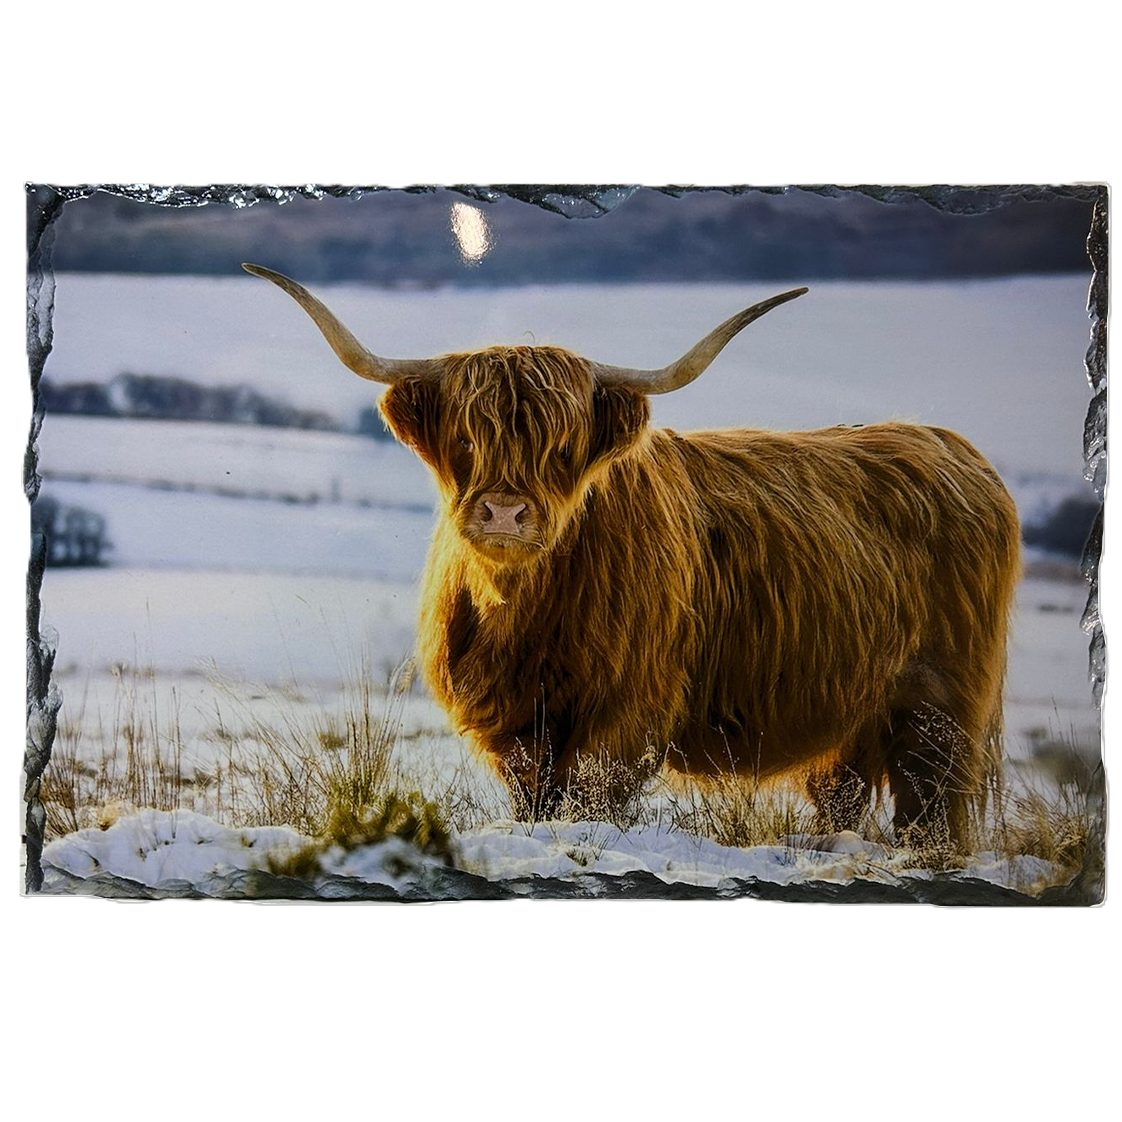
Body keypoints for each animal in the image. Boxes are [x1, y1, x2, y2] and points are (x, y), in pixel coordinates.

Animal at [244, 263, 1021, 849]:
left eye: (561, 448)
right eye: (465, 439)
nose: (504, 513)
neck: (521, 614)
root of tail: (949, 445)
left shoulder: (626, 712)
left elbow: (590, 797)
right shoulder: (514, 724)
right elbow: (535, 801)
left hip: (941, 710)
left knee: (930, 809)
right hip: (855, 717)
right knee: (844, 791)